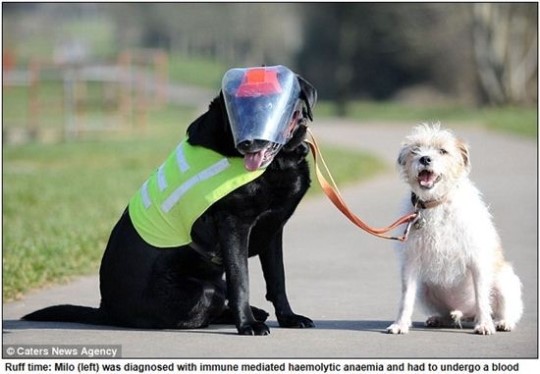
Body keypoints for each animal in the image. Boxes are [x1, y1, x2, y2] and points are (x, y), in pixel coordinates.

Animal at [23, 74, 316, 336]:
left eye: (270, 107)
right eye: (238, 113)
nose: (248, 143)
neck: (281, 159)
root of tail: (105, 310)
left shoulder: (273, 228)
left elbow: (277, 279)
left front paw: (288, 318)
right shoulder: (234, 224)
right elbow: (241, 280)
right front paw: (246, 325)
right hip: (205, 290)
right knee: (207, 310)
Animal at [388, 124, 524, 334]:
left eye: (443, 151)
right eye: (415, 149)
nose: (425, 158)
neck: (437, 203)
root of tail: (465, 312)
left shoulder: (477, 259)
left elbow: (482, 297)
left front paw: (485, 324)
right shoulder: (411, 262)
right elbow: (406, 297)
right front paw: (400, 324)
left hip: (504, 282)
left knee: (505, 309)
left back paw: (503, 322)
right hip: (425, 289)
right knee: (449, 314)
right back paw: (439, 319)